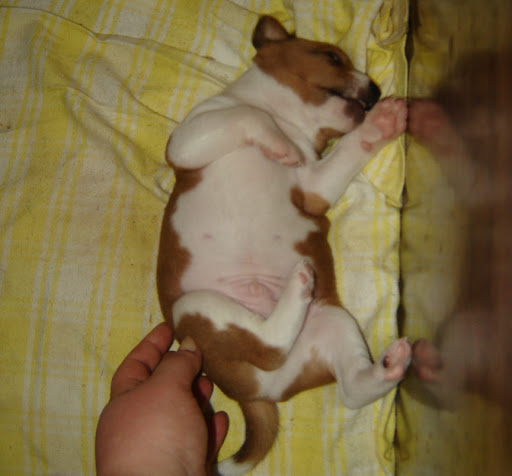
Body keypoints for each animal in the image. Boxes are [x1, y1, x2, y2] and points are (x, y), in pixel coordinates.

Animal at [157, 15, 411, 476]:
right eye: (331, 57)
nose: (375, 91)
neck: (291, 121)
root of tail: (256, 393)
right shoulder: (190, 139)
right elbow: (247, 114)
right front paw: (279, 143)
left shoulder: (314, 187)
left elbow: (351, 146)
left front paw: (381, 123)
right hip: (194, 307)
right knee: (272, 346)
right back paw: (297, 292)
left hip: (333, 324)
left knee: (347, 386)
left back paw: (389, 364)